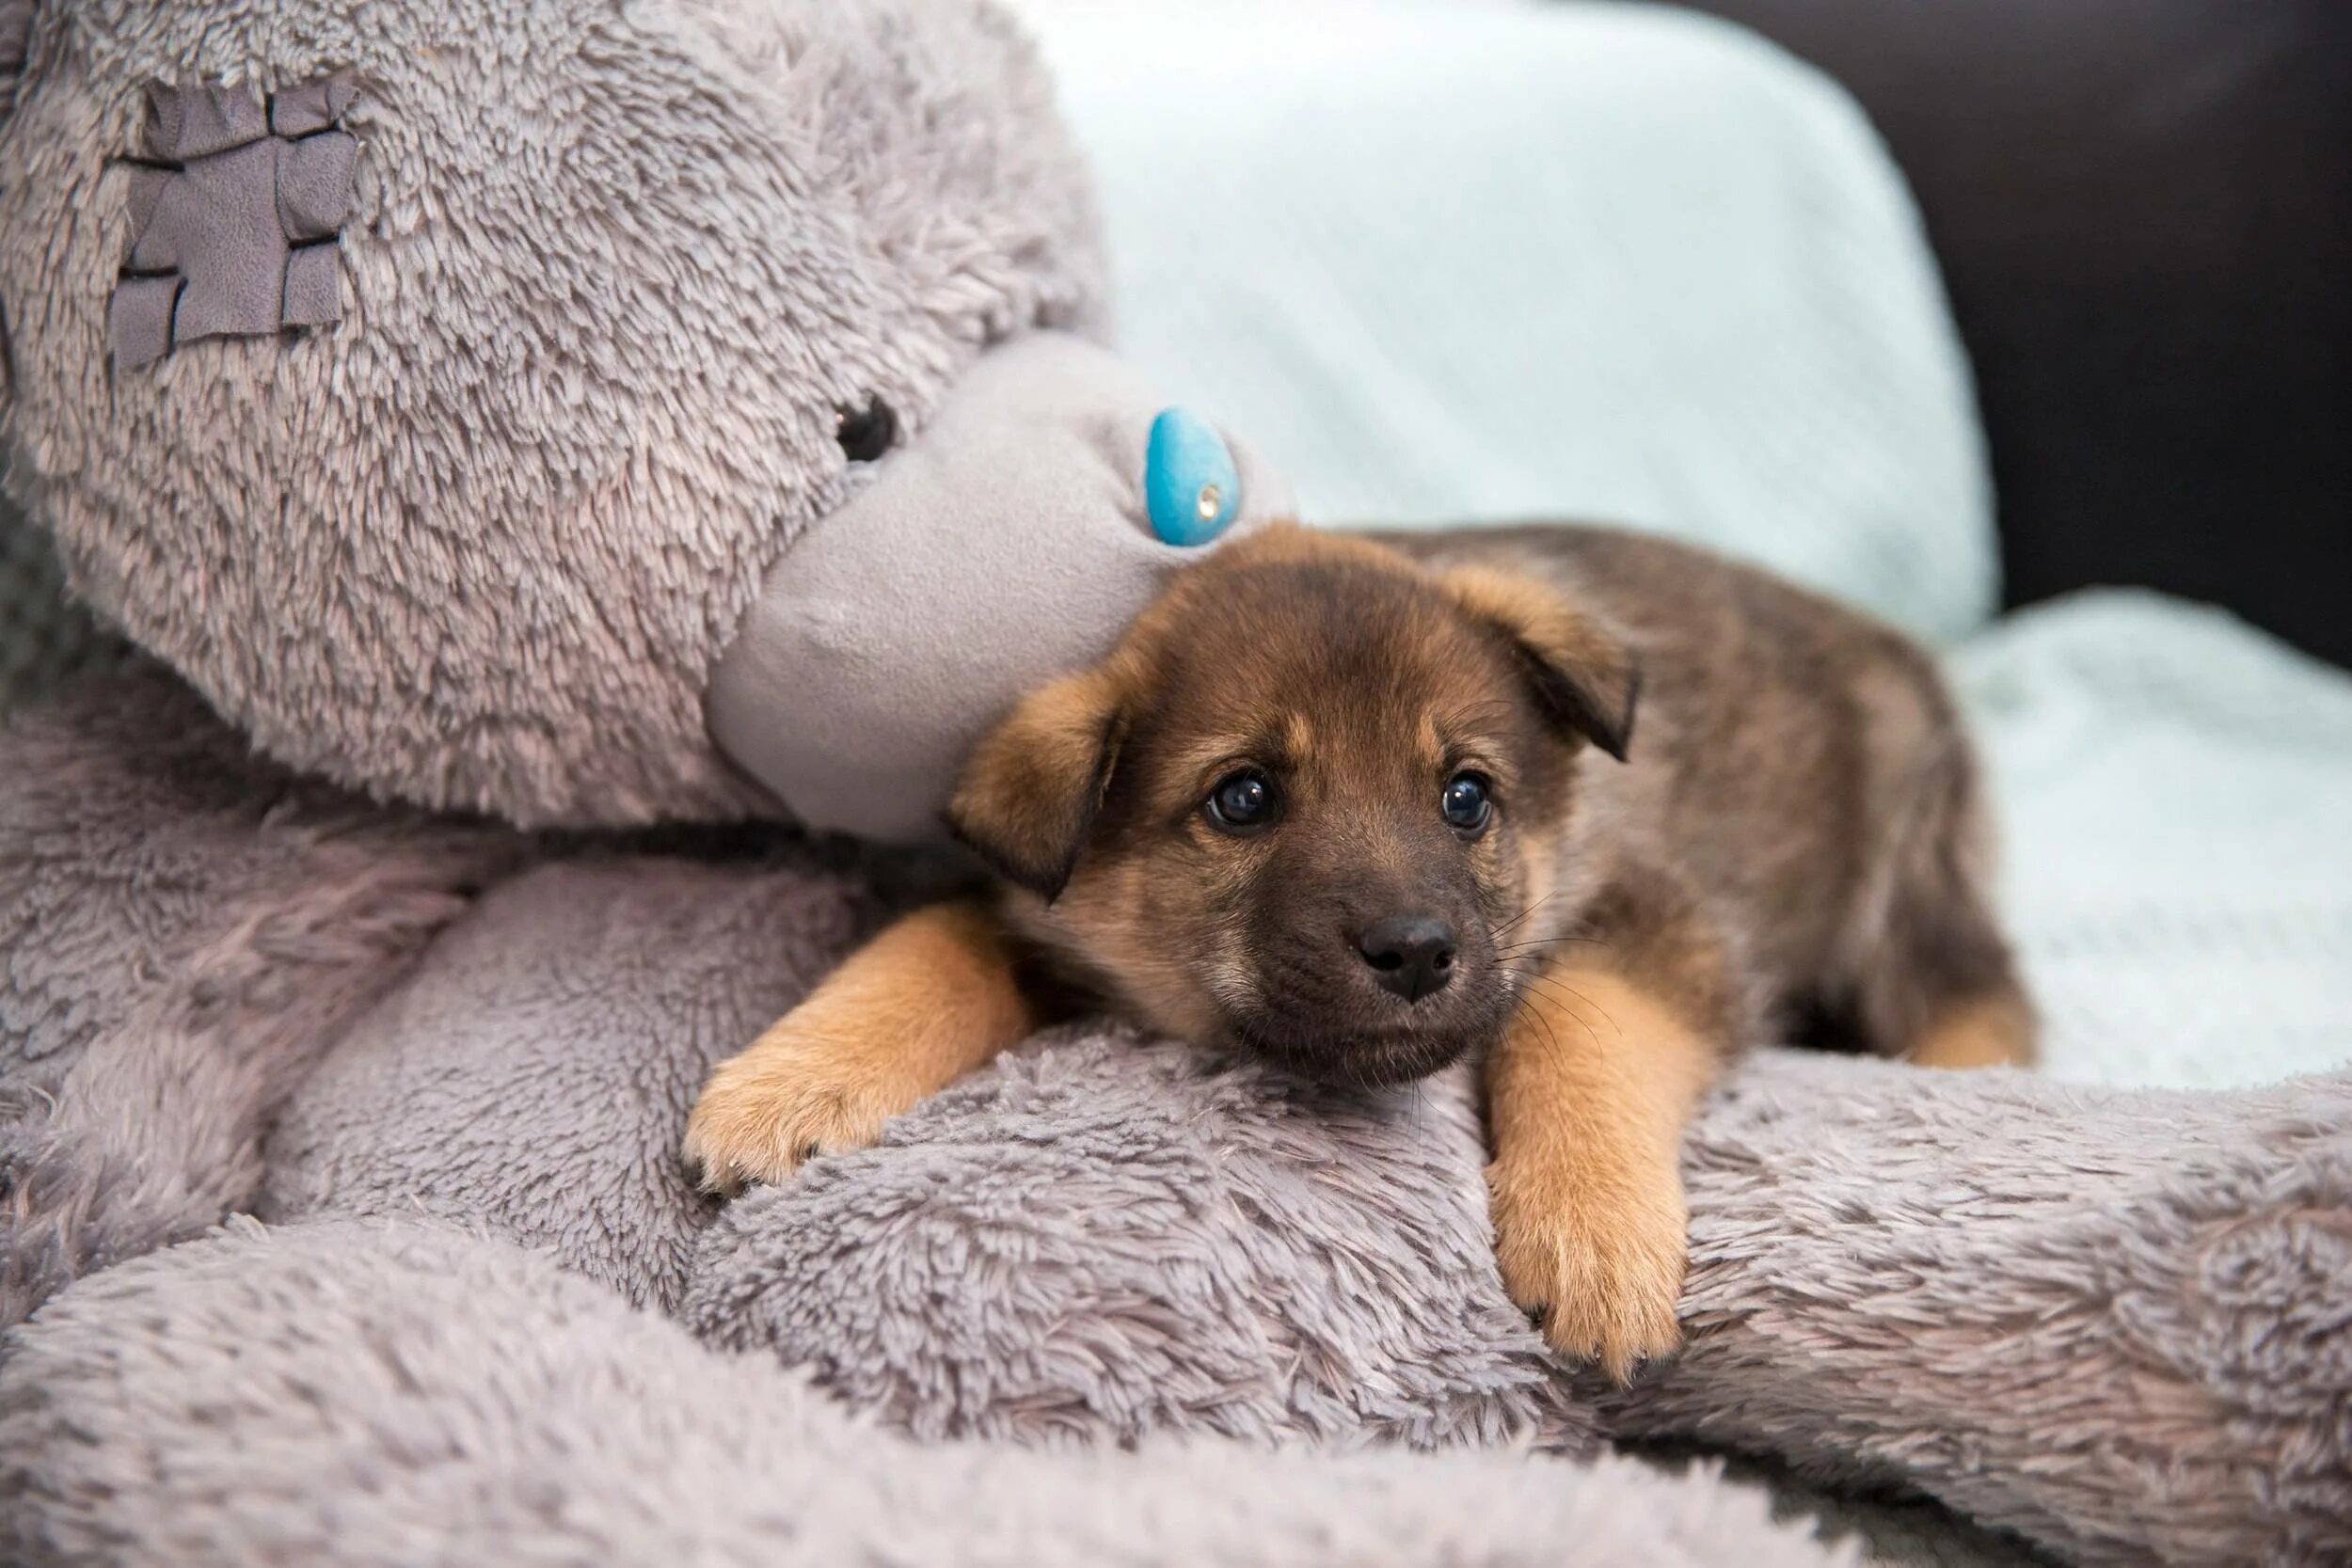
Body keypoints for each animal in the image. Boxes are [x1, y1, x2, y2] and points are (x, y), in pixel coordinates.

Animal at [677, 524, 2023, 1372]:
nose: (1416, 950)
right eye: (1244, 798)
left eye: (1467, 795)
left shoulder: (1664, 925)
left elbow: (1568, 1012)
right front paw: (791, 1081)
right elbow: (929, 946)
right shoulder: (1033, 915)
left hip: (1913, 889)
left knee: (1981, 1001)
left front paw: (1594, 1230)